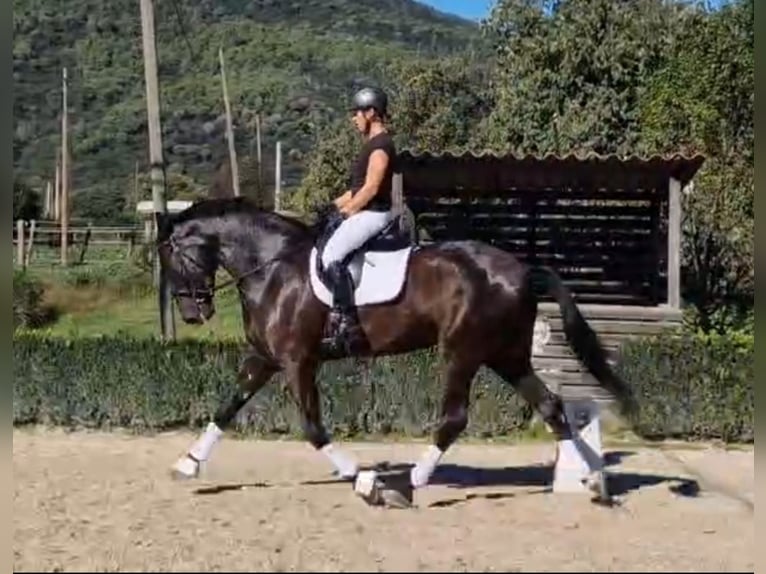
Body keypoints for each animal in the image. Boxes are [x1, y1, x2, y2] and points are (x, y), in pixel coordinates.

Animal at [156, 196, 636, 504]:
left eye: (170, 258)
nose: (194, 312)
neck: (272, 267)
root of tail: (521, 270)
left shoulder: (297, 361)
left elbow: (312, 428)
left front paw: (363, 479)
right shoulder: (264, 358)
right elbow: (226, 408)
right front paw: (187, 464)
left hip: (462, 351)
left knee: (454, 418)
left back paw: (407, 485)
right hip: (507, 356)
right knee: (551, 407)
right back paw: (592, 484)